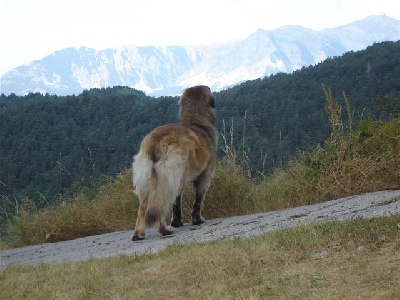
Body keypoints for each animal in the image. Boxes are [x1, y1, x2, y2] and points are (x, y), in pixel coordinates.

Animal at [131, 85, 217, 240]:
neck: (195, 118)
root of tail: (157, 140)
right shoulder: (205, 176)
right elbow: (198, 200)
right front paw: (197, 220)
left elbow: (176, 204)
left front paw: (177, 222)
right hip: (170, 177)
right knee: (161, 203)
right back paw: (163, 230)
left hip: (147, 178)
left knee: (144, 206)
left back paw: (139, 233)